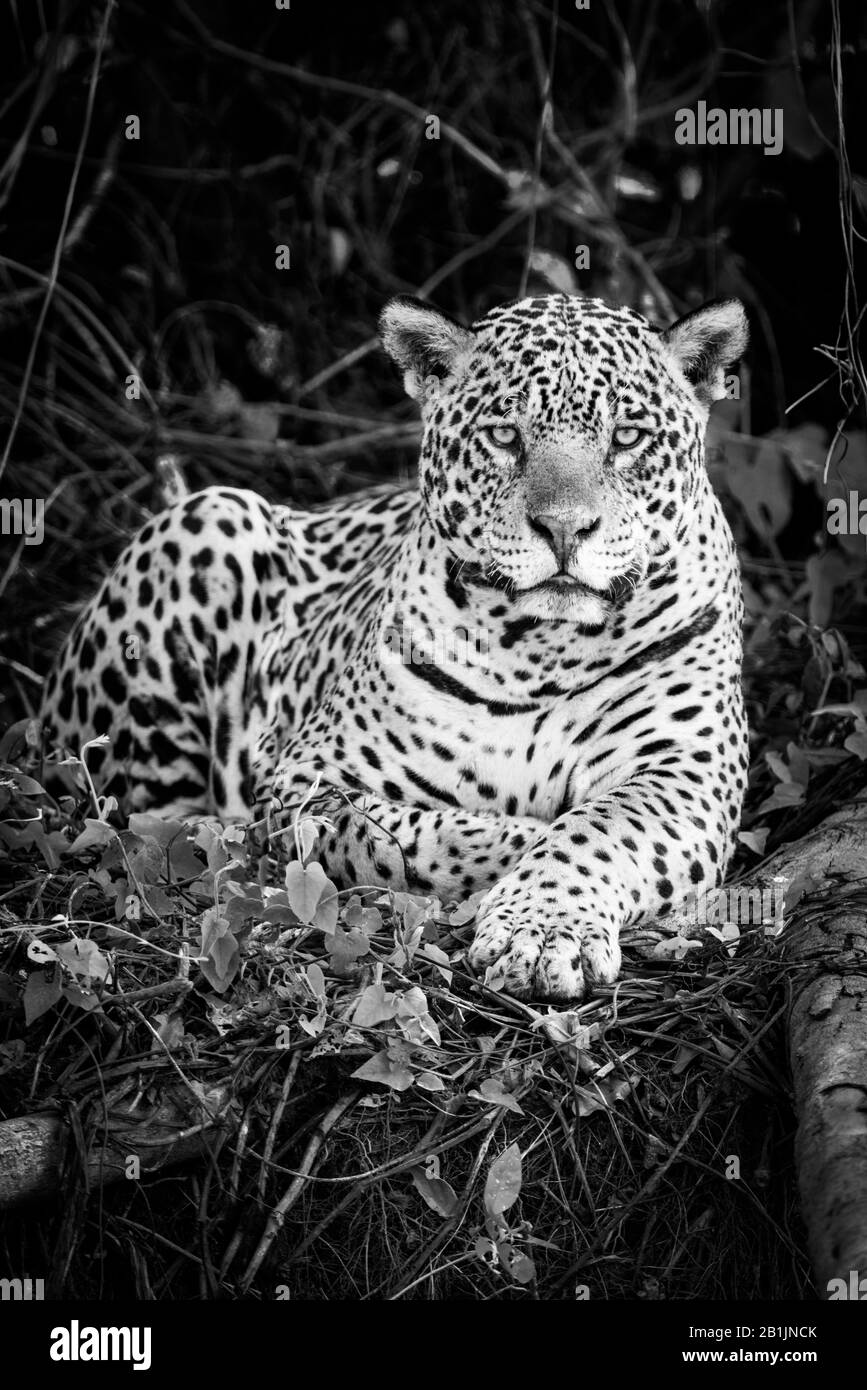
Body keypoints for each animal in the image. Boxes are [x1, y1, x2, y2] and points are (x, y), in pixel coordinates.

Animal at [41, 291, 750, 1002]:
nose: (565, 529)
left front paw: (544, 931)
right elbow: (401, 839)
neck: (541, 648)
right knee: (132, 816)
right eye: (504, 435)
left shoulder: (685, 770)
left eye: (627, 438)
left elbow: (595, 832)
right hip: (210, 520)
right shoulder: (312, 776)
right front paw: (523, 842)